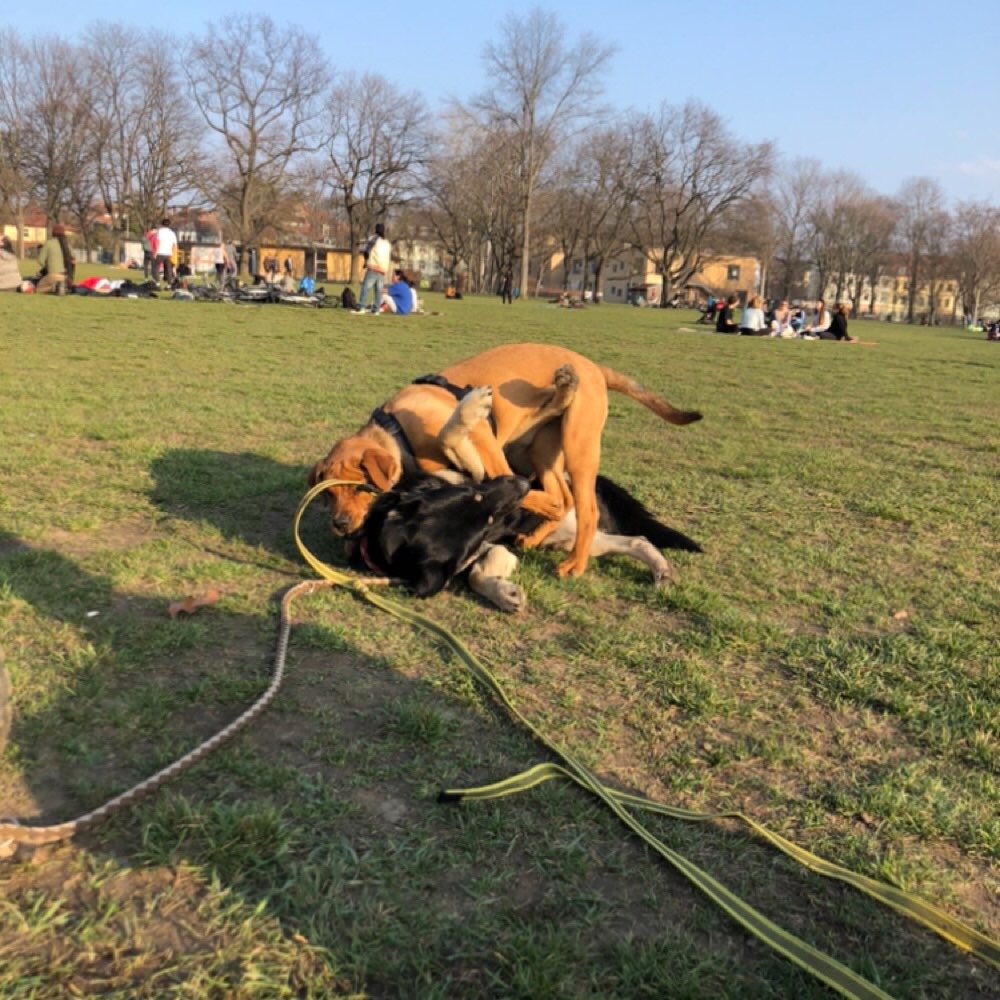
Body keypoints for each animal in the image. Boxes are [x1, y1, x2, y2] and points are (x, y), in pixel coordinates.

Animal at [308, 344, 700, 580]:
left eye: (360, 487)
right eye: (327, 495)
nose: (340, 525)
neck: (397, 429)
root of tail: (594, 367)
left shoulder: (481, 440)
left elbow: (463, 443)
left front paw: (471, 408)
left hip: (578, 446)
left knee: (583, 507)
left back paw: (575, 562)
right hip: (540, 449)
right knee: (562, 497)